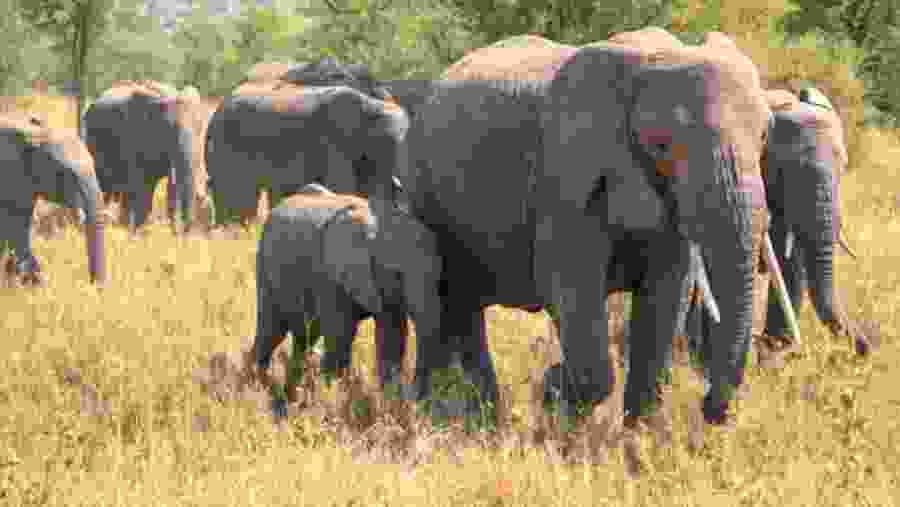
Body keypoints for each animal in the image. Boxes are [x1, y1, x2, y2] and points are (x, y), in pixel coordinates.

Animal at [82, 80, 204, 233]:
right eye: (169, 130)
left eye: (200, 129)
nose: (183, 232)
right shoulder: (132, 135)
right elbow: (138, 185)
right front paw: (132, 232)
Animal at [205, 77, 409, 227]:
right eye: (388, 143)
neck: (373, 105)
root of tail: (216, 113)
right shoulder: (335, 143)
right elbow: (343, 186)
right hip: (228, 145)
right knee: (237, 190)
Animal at [251, 181, 441, 413]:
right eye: (397, 275)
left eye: (440, 274)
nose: (417, 405)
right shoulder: (331, 276)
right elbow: (339, 338)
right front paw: (332, 404)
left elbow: (392, 336)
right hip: (266, 267)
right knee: (271, 332)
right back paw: (258, 391)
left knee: (304, 337)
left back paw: (289, 400)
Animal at [392, 33, 771, 427]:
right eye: (661, 146)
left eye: (765, 135)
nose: (708, 404)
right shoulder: (563, 181)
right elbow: (568, 283)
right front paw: (555, 388)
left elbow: (667, 295)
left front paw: (639, 435)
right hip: (423, 190)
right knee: (456, 303)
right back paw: (473, 422)